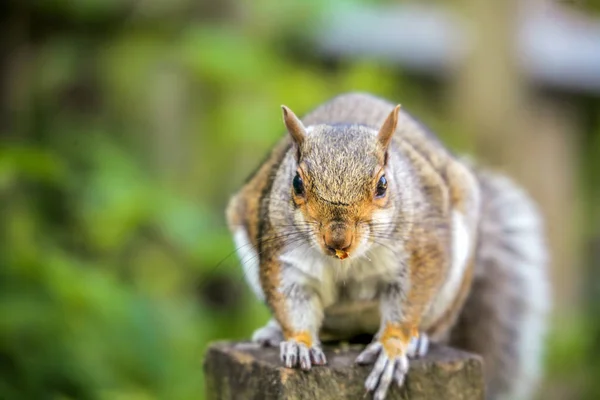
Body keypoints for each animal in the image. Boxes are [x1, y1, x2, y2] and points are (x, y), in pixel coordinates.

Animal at [227, 93, 552, 400]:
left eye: (382, 185)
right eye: (296, 183)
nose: (338, 239)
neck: (347, 262)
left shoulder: (422, 248)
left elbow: (409, 301)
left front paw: (392, 348)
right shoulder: (286, 258)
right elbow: (292, 301)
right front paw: (299, 344)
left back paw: (418, 339)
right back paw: (273, 332)